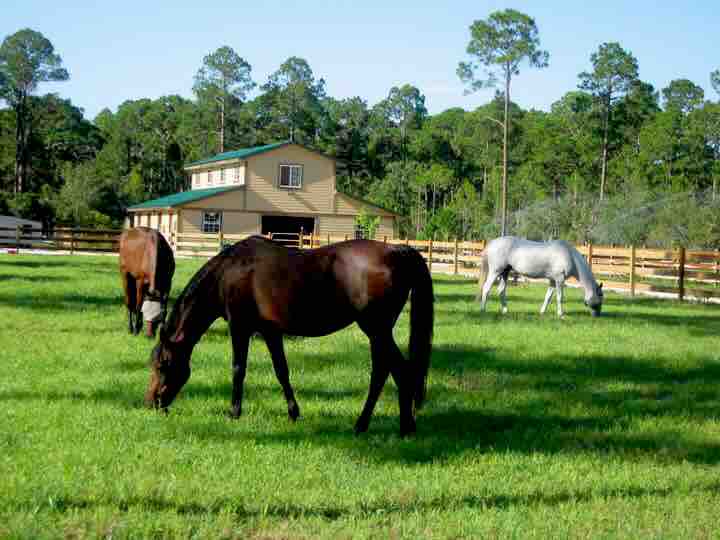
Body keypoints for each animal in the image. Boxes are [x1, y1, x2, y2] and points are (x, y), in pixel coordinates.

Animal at [143, 235, 430, 434]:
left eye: (163, 364)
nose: (152, 403)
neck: (228, 272)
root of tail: (397, 251)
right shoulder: (270, 332)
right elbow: (282, 370)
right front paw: (293, 412)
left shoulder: (240, 328)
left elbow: (238, 369)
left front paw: (234, 411)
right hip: (378, 332)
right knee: (385, 371)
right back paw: (380, 424)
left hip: (376, 329)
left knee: (398, 370)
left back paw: (396, 427)